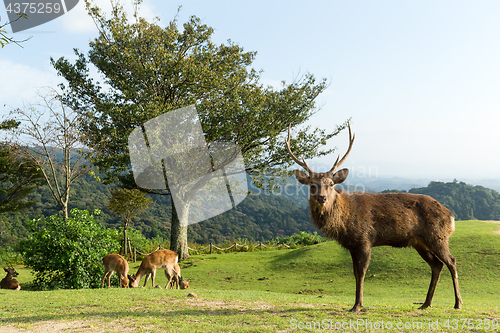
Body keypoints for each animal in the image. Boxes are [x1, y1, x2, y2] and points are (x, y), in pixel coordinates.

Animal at [288, 122, 462, 312]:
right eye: (312, 185)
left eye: (331, 184)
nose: (322, 198)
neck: (344, 222)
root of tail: (451, 216)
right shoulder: (352, 245)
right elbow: (355, 273)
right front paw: (356, 303)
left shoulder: (365, 238)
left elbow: (362, 272)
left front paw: (357, 305)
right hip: (419, 242)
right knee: (437, 265)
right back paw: (426, 303)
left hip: (437, 236)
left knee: (451, 261)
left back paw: (457, 303)